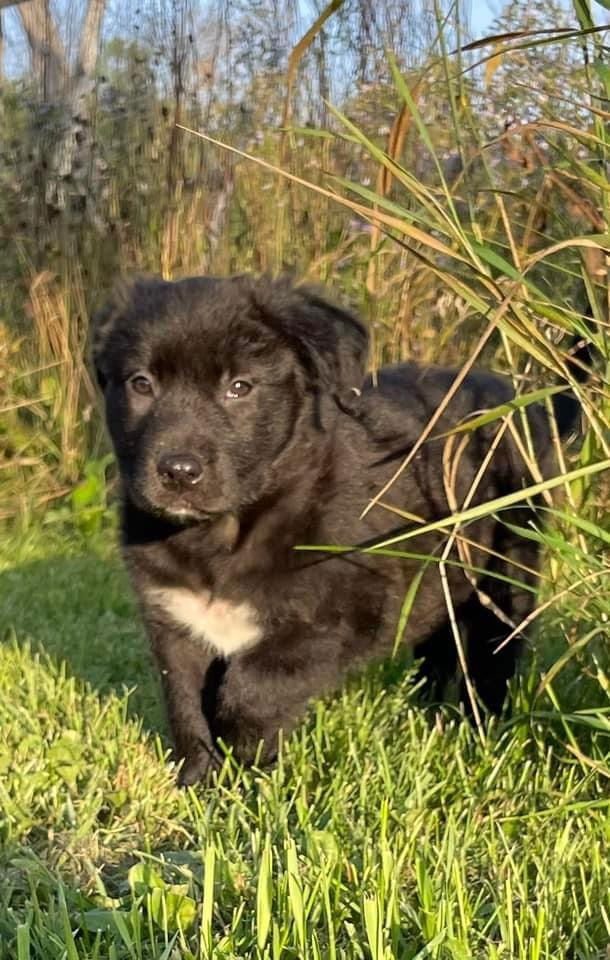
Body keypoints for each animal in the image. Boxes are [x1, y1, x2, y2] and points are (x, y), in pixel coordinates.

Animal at [92, 274, 580, 784]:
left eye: (239, 387)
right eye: (141, 384)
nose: (178, 471)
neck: (224, 536)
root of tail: (527, 404)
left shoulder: (351, 609)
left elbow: (254, 684)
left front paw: (247, 763)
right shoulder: (175, 618)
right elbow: (186, 705)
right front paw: (200, 783)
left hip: (505, 570)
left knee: (492, 655)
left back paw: (481, 731)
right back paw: (431, 717)